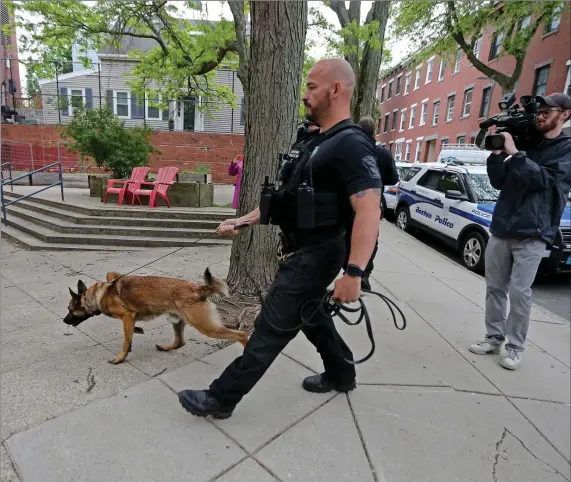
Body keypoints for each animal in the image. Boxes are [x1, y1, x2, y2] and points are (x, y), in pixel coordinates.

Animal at [63, 268, 249, 366]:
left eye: (70, 310)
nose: (64, 320)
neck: (98, 295)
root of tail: (198, 288)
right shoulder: (129, 318)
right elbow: (129, 337)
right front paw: (135, 334)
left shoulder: (127, 316)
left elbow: (125, 341)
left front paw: (121, 357)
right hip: (177, 320)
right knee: (180, 342)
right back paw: (166, 347)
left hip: (205, 326)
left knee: (241, 334)